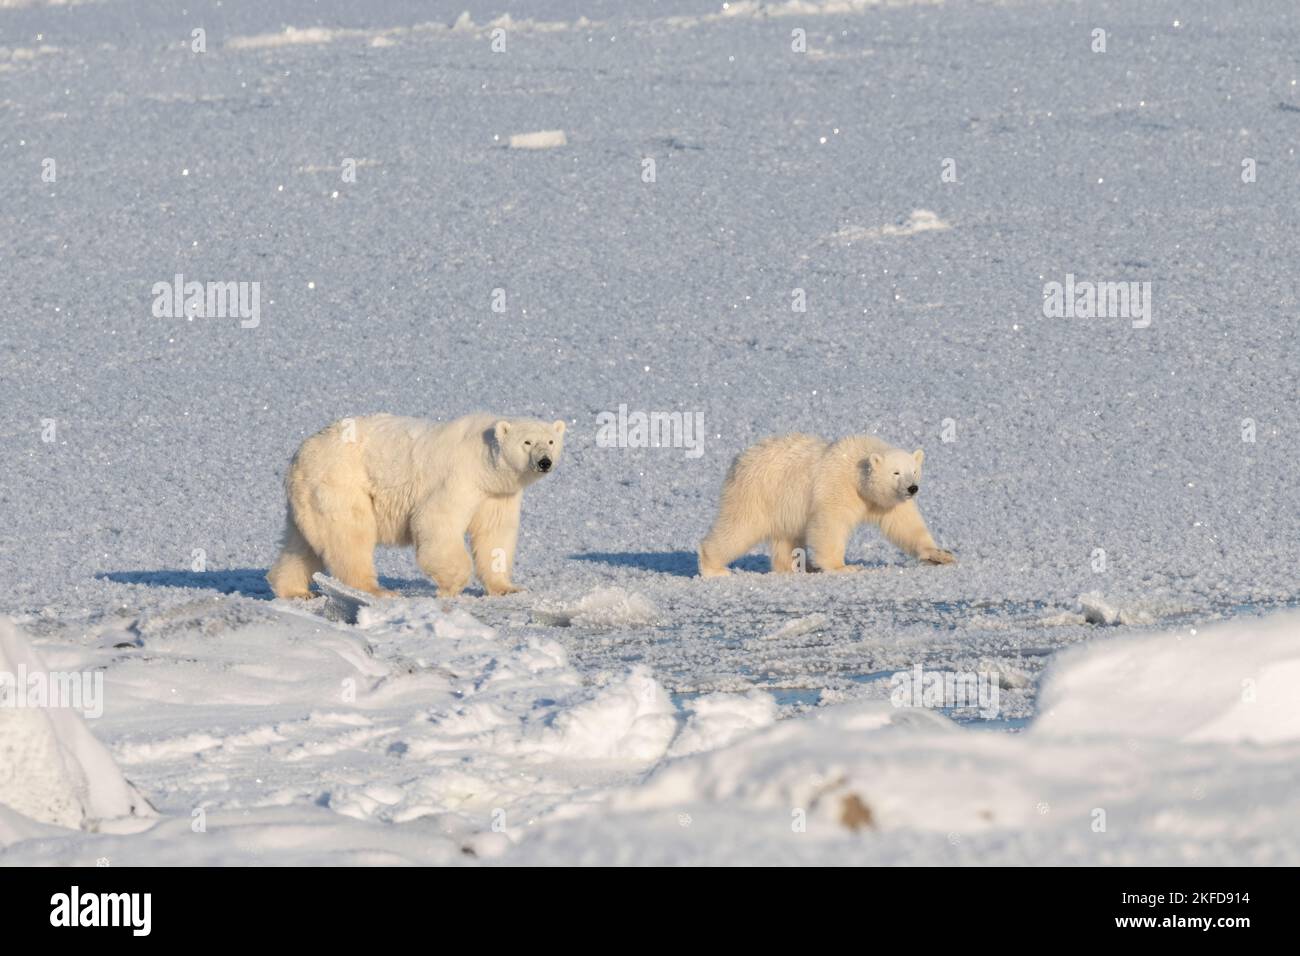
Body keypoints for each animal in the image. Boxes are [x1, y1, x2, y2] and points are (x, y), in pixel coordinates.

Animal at [265, 411, 564, 598]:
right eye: (527, 442)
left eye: (551, 440)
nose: (544, 462)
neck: (483, 461)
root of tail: (300, 454)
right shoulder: (457, 478)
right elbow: (436, 521)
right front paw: (451, 584)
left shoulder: (496, 494)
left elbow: (495, 534)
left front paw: (508, 587)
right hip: (340, 482)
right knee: (350, 536)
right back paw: (376, 590)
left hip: (309, 496)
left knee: (301, 544)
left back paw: (294, 590)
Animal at [702, 434, 956, 574]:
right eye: (895, 472)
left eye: (914, 471)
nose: (912, 488)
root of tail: (739, 460)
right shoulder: (838, 485)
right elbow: (830, 523)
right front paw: (843, 567)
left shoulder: (884, 501)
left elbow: (905, 524)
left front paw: (940, 555)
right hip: (756, 494)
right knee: (739, 528)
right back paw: (714, 568)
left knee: (787, 538)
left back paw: (799, 567)